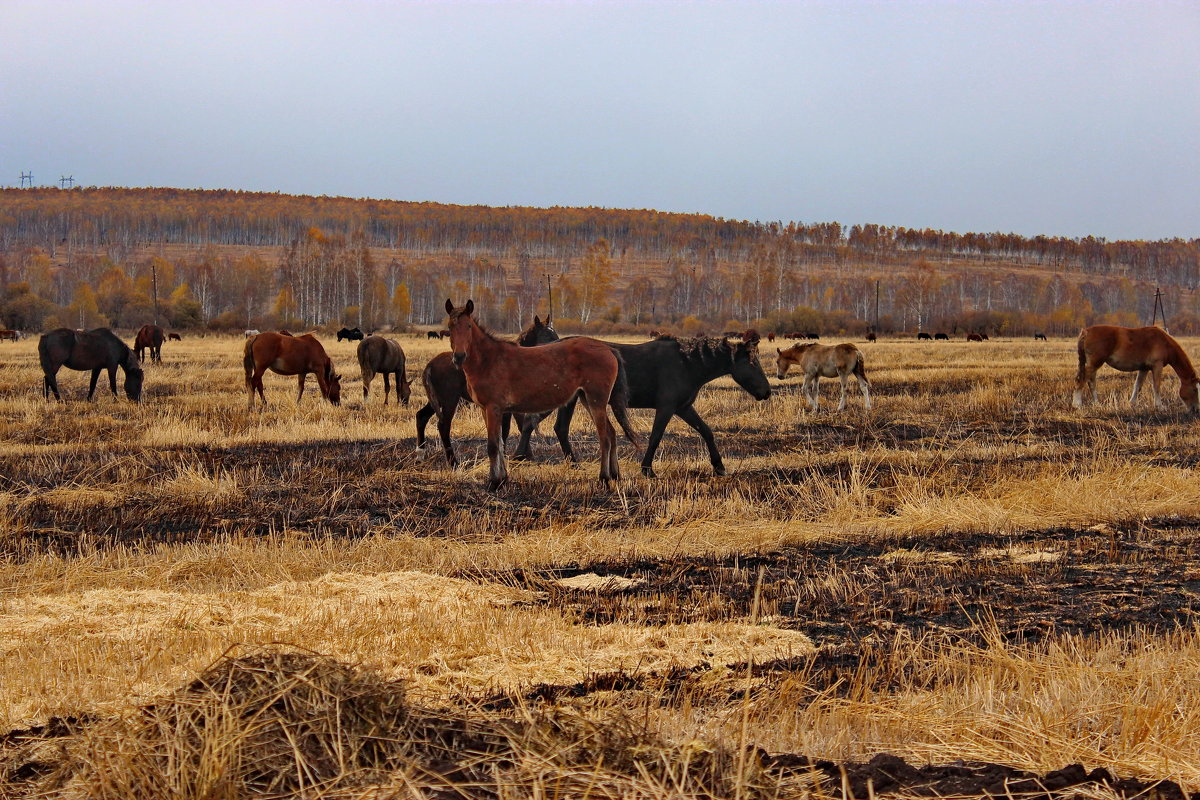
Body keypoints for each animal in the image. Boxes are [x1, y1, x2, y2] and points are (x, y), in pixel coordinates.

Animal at [441, 298, 628, 491]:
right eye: (450, 326)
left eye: (469, 326)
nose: (459, 357)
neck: (488, 360)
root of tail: (608, 349)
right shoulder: (485, 409)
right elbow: (500, 444)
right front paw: (502, 479)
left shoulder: (494, 408)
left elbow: (493, 445)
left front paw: (494, 482)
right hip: (587, 399)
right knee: (611, 433)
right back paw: (615, 475)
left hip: (596, 400)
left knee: (604, 437)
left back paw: (604, 478)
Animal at [516, 335, 768, 479]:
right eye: (752, 363)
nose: (766, 392)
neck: (686, 364)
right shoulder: (666, 408)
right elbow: (656, 437)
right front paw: (647, 469)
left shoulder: (684, 408)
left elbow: (707, 432)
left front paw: (719, 466)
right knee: (532, 424)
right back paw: (520, 456)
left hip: (569, 401)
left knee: (559, 428)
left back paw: (572, 464)